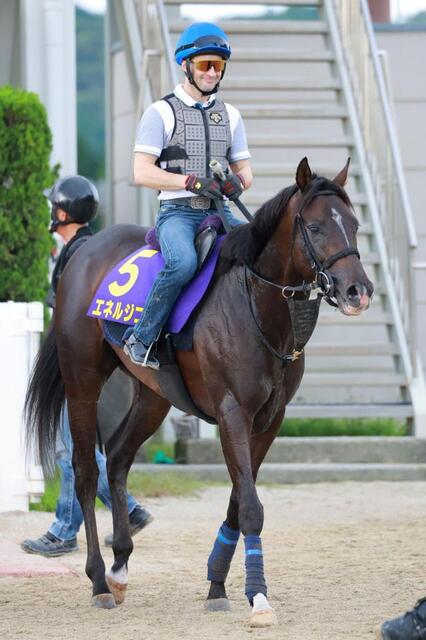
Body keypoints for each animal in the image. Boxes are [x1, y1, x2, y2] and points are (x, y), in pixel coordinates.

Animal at [25, 157, 373, 626]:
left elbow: (238, 502)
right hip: (82, 383)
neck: (256, 305)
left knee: (117, 458)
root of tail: (86, 250)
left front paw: (217, 585)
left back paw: (120, 567)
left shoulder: (269, 421)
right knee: (85, 472)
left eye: (354, 224)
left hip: (153, 397)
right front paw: (258, 596)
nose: (358, 291)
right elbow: (251, 507)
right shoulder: (232, 414)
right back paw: (98, 580)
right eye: (316, 227)